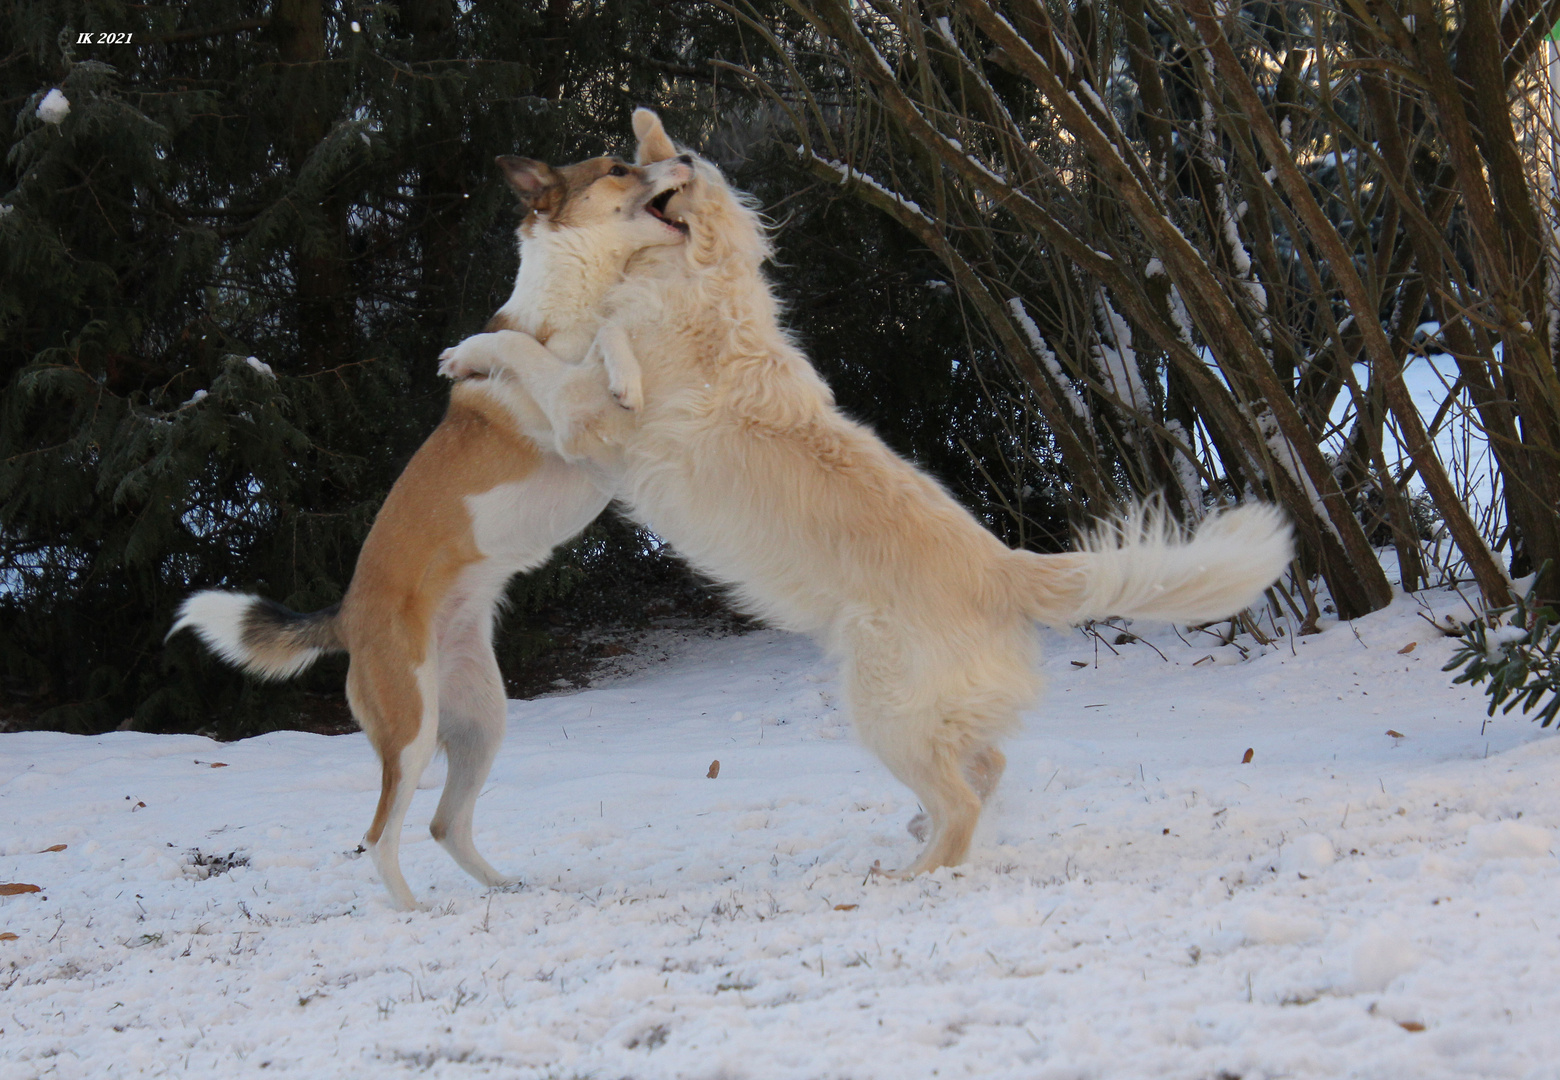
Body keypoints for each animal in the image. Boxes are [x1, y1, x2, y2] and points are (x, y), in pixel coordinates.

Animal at [166, 147, 695, 905]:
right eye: (617, 166)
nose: (685, 157)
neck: (570, 292)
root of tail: (348, 614)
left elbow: (610, 330)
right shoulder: (567, 410)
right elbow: (572, 344)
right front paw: (602, 371)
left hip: (480, 723)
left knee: (445, 825)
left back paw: (506, 888)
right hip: (412, 730)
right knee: (378, 836)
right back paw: (412, 912)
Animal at [439, 111, 1291, 880]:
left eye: (669, 167)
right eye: (645, 162)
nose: (669, 148)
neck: (705, 289)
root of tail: (1008, 567)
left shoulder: (581, 416)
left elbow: (529, 351)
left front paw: (471, 350)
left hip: (885, 708)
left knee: (963, 802)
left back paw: (912, 873)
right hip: (925, 712)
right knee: (987, 766)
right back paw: (918, 833)